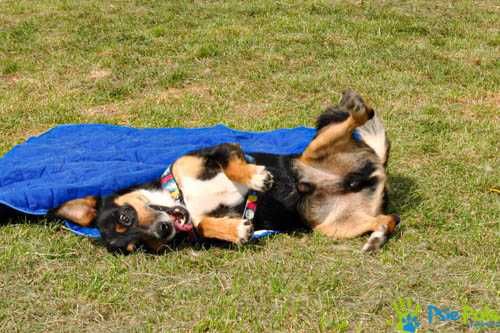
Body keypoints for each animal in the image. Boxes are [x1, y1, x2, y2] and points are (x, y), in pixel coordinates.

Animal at [54, 89, 398, 253]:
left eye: (126, 217)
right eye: (140, 246)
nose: (163, 232)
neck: (181, 197)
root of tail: (372, 170)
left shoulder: (222, 148)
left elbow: (235, 166)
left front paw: (256, 177)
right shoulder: (200, 222)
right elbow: (206, 225)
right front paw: (237, 231)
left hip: (312, 151)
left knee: (361, 116)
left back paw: (356, 106)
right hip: (333, 226)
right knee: (388, 220)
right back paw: (376, 239)